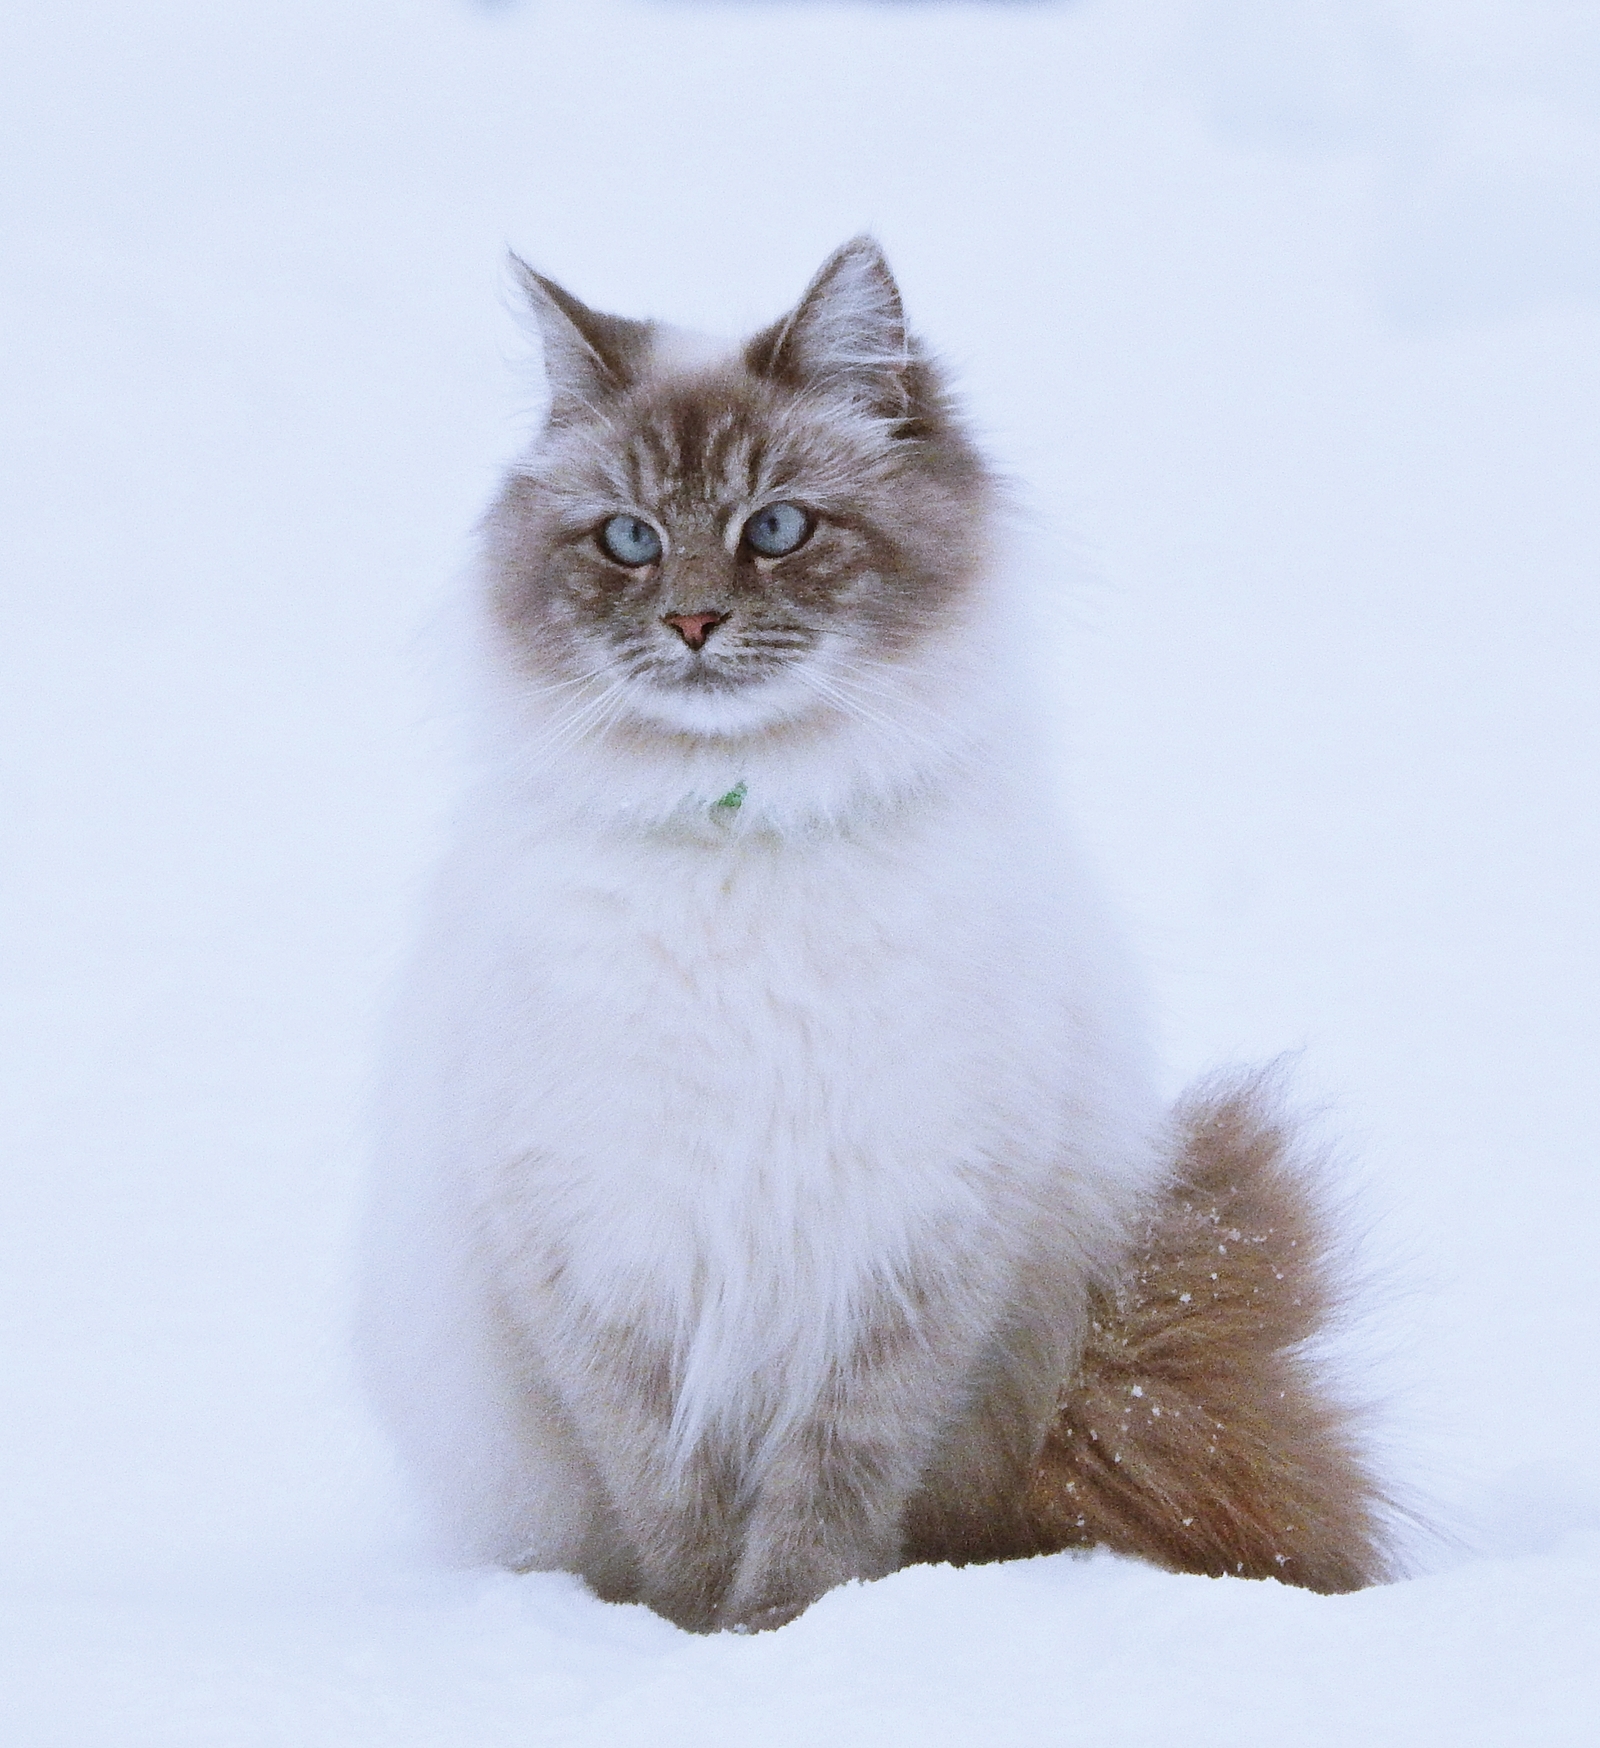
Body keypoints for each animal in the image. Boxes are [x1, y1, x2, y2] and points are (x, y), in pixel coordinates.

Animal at [363, 239, 1391, 1629]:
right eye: (629, 539)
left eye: (776, 527)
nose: (692, 623)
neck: (746, 827)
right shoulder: (609, 1247)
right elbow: (673, 1499)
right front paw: (690, 1636)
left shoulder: (908, 1244)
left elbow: (829, 1491)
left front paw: (780, 1634)